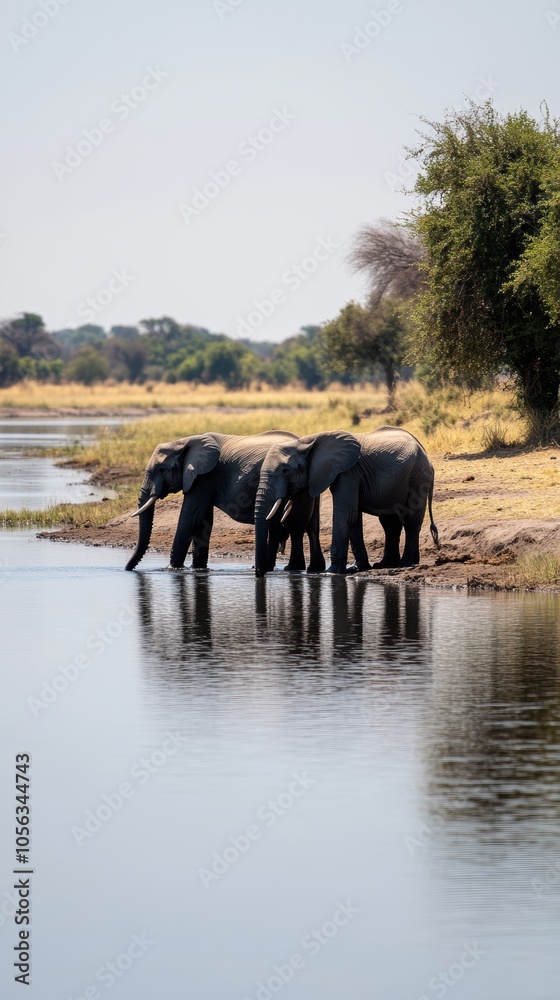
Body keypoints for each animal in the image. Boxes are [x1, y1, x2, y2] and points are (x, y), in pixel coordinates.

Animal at [125, 430, 326, 574]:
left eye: (161, 469)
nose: (127, 569)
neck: (184, 442)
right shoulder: (203, 479)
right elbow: (203, 521)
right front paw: (198, 569)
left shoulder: (204, 477)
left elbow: (190, 518)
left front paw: (172, 569)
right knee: (309, 527)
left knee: (287, 528)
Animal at [254, 426, 439, 575]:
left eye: (285, 471)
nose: (260, 573)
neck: (307, 442)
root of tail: (426, 455)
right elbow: (354, 517)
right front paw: (358, 568)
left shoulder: (348, 472)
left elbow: (345, 515)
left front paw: (332, 572)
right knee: (390, 522)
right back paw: (385, 564)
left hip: (417, 477)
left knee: (411, 520)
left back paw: (407, 562)